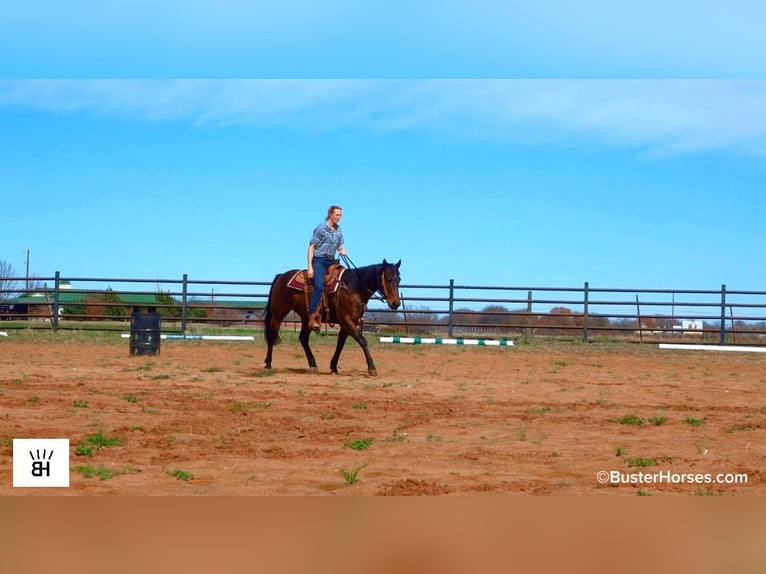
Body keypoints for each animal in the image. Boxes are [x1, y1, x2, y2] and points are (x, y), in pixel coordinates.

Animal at [263, 259, 401, 376]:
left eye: (399, 279)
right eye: (388, 278)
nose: (396, 303)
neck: (354, 287)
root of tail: (281, 276)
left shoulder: (347, 324)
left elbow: (340, 344)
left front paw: (333, 367)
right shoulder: (347, 320)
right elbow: (362, 340)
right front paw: (372, 367)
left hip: (307, 318)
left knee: (303, 338)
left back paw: (313, 365)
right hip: (278, 314)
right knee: (272, 336)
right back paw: (268, 363)